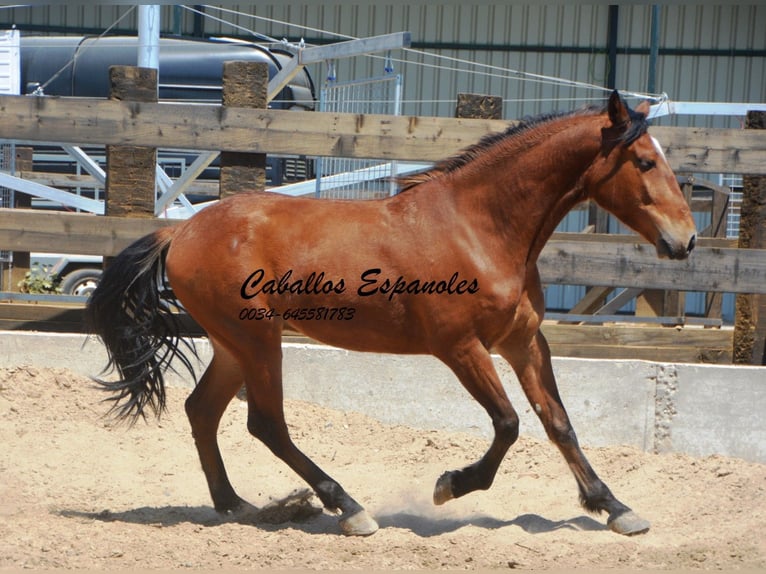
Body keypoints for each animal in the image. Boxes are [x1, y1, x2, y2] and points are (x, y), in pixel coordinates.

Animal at [87, 93, 700, 540]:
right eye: (645, 161)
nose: (687, 241)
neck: (480, 227)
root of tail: (181, 231)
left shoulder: (524, 342)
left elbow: (559, 424)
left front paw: (614, 507)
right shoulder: (460, 347)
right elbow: (508, 423)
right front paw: (450, 485)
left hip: (234, 343)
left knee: (202, 411)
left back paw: (234, 505)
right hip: (257, 340)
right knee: (265, 423)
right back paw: (349, 509)